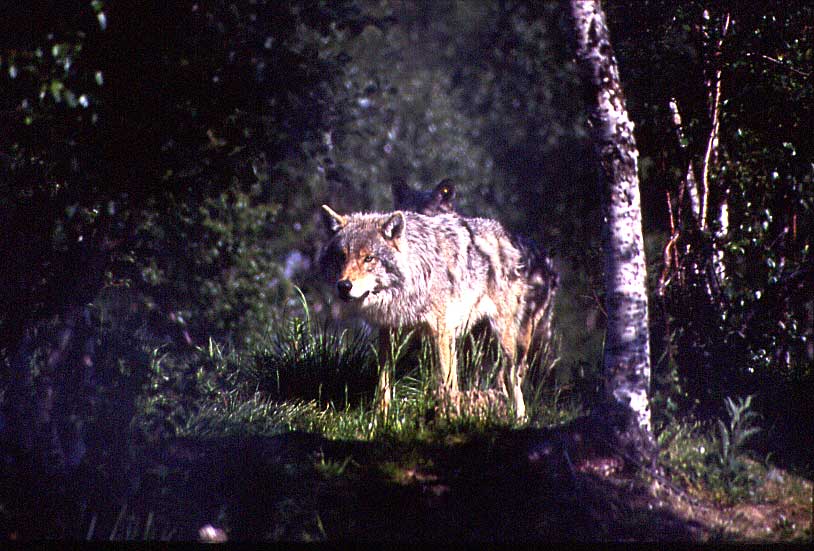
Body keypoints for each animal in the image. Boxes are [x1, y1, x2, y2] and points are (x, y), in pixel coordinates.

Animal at [320, 204, 531, 418]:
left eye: (369, 258)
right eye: (342, 257)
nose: (344, 286)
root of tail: (502, 232)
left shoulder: (441, 332)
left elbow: (448, 382)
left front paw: (450, 417)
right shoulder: (389, 332)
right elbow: (384, 379)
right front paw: (382, 415)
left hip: (502, 339)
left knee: (513, 376)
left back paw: (520, 417)